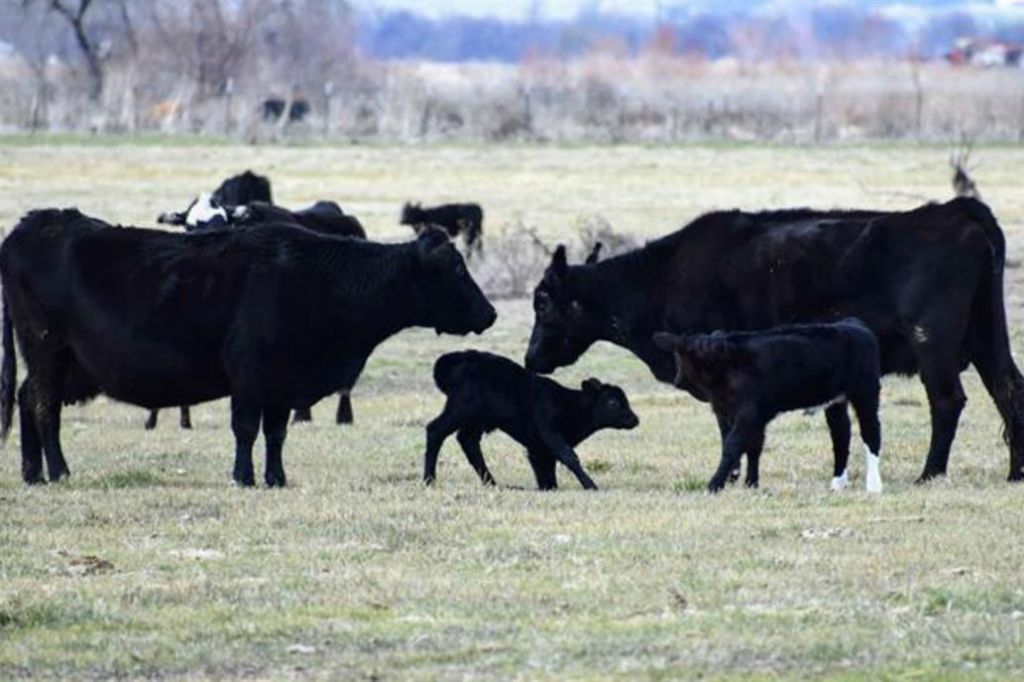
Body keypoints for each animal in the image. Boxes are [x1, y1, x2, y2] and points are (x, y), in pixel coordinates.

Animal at [0, 209, 495, 485]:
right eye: (455, 268)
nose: (489, 312)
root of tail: (34, 223)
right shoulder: (250, 373)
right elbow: (245, 428)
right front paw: (243, 477)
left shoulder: (282, 384)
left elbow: (275, 432)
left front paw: (276, 478)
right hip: (48, 349)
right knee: (43, 405)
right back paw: (59, 471)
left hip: (62, 362)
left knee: (27, 398)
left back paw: (33, 473)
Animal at [419, 350, 634, 489]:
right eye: (613, 402)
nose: (635, 419)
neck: (569, 404)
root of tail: (452, 360)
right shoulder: (548, 431)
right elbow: (568, 456)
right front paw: (591, 485)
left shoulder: (537, 447)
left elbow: (546, 471)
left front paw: (550, 487)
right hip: (460, 411)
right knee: (435, 430)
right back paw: (429, 480)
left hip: (475, 421)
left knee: (467, 441)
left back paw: (492, 483)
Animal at [655, 315, 880, 491]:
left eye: (679, 357)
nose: (676, 380)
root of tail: (854, 324)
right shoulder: (744, 414)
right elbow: (752, 446)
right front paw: (750, 483)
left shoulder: (749, 413)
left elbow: (733, 445)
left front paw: (714, 485)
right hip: (835, 401)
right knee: (841, 435)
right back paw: (837, 483)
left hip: (866, 394)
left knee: (871, 432)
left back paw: (874, 486)